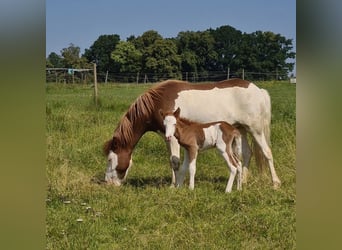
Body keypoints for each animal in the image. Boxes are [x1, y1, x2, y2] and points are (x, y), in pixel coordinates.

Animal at [103, 78, 280, 188]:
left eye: (110, 159)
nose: (108, 183)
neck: (158, 103)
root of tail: (259, 90)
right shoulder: (167, 138)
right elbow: (172, 162)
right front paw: (175, 183)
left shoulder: (174, 139)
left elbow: (175, 162)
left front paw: (174, 186)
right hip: (241, 129)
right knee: (247, 153)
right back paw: (243, 181)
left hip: (255, 129)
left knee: (267, 152)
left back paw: (276, 183)